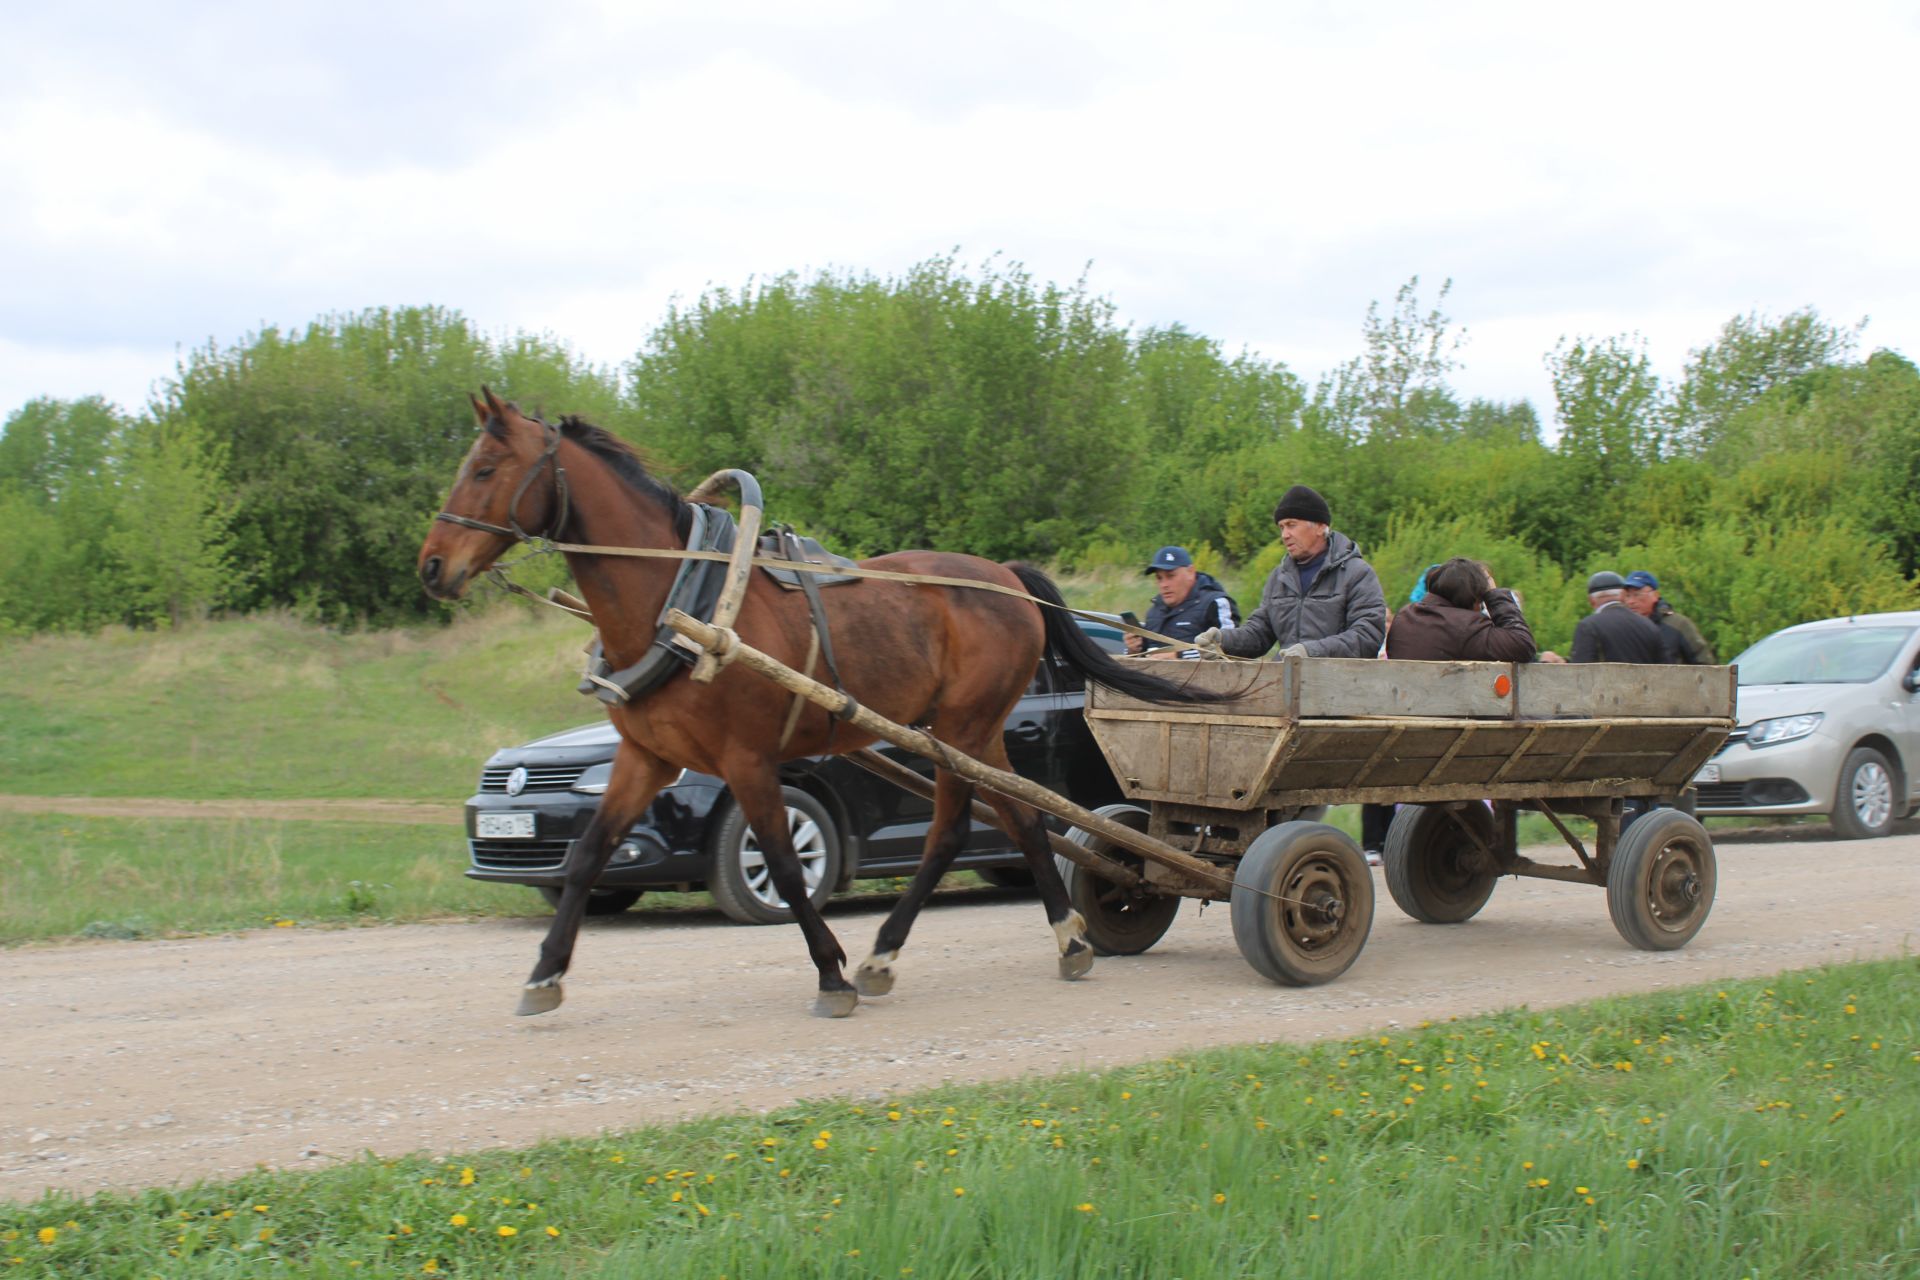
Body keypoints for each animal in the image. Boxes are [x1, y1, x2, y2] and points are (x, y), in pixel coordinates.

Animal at [422, 391, 1228, 1020]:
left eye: (485, 469)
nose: (432, 567)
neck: (683, 603)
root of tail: (1003, 577)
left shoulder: (748, 762)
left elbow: (781, 863)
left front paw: (830, 972)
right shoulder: (647, 757)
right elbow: (588, 854)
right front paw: (544, 973)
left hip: (961, 729)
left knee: (955, 832)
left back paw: (886, 957)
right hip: (968, 733)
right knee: (1021, 823)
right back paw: (1061, 940)